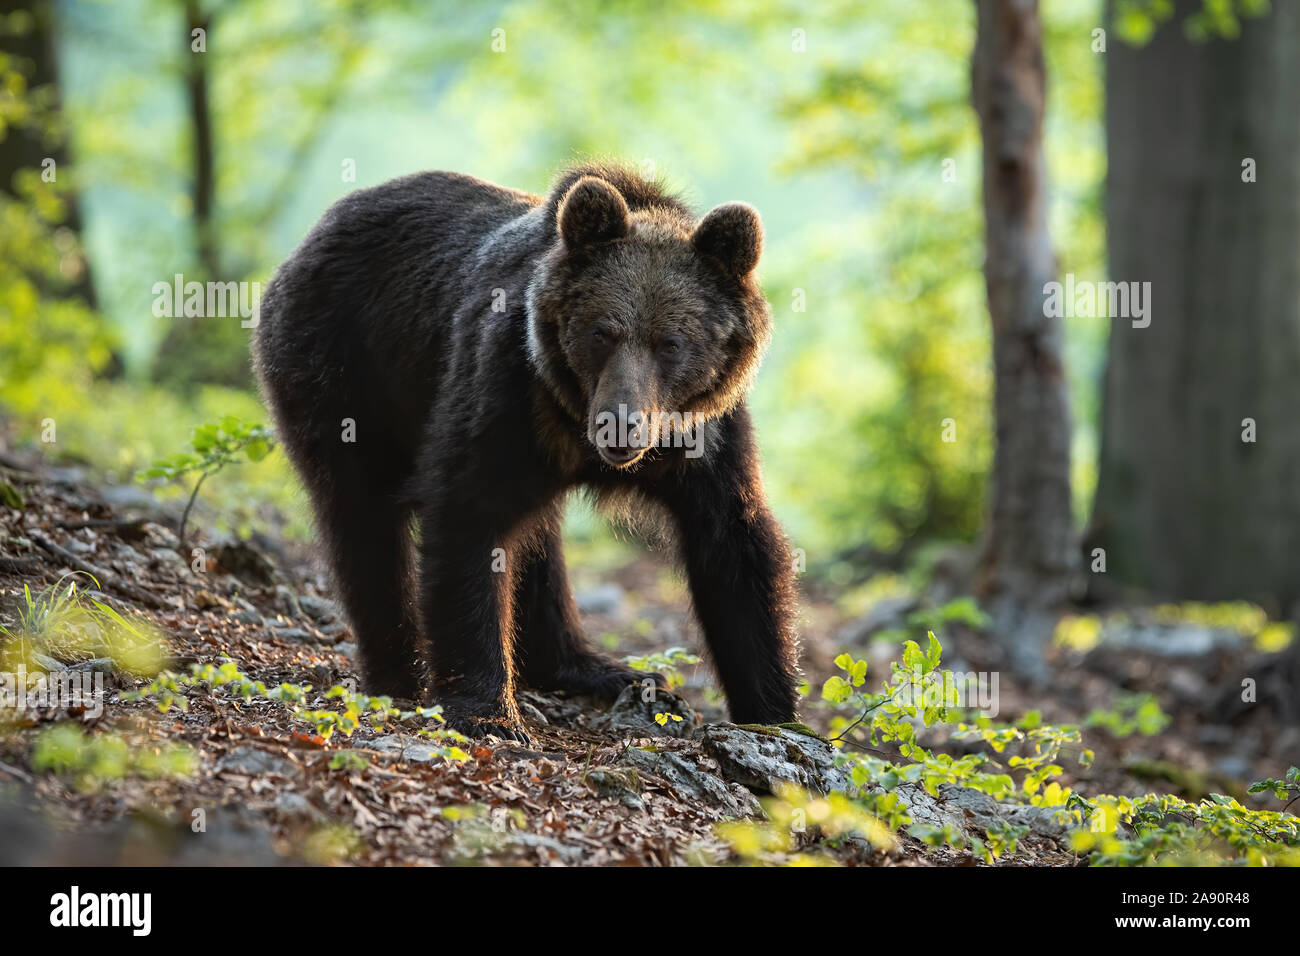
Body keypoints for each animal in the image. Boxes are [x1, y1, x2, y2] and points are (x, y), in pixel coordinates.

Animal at [254, 162, 799, 742]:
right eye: (602, 333)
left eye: (671, 343)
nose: (620, 424)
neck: (572, 420)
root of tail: (319, 230)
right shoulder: (506, 387)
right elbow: (469, 514)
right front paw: (487, 709)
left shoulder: (704, 437)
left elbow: (735, 547)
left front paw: (776, 715)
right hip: (344, 368)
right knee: (362, 517)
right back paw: (397, 673)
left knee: (537, 540)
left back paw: (594, 669)